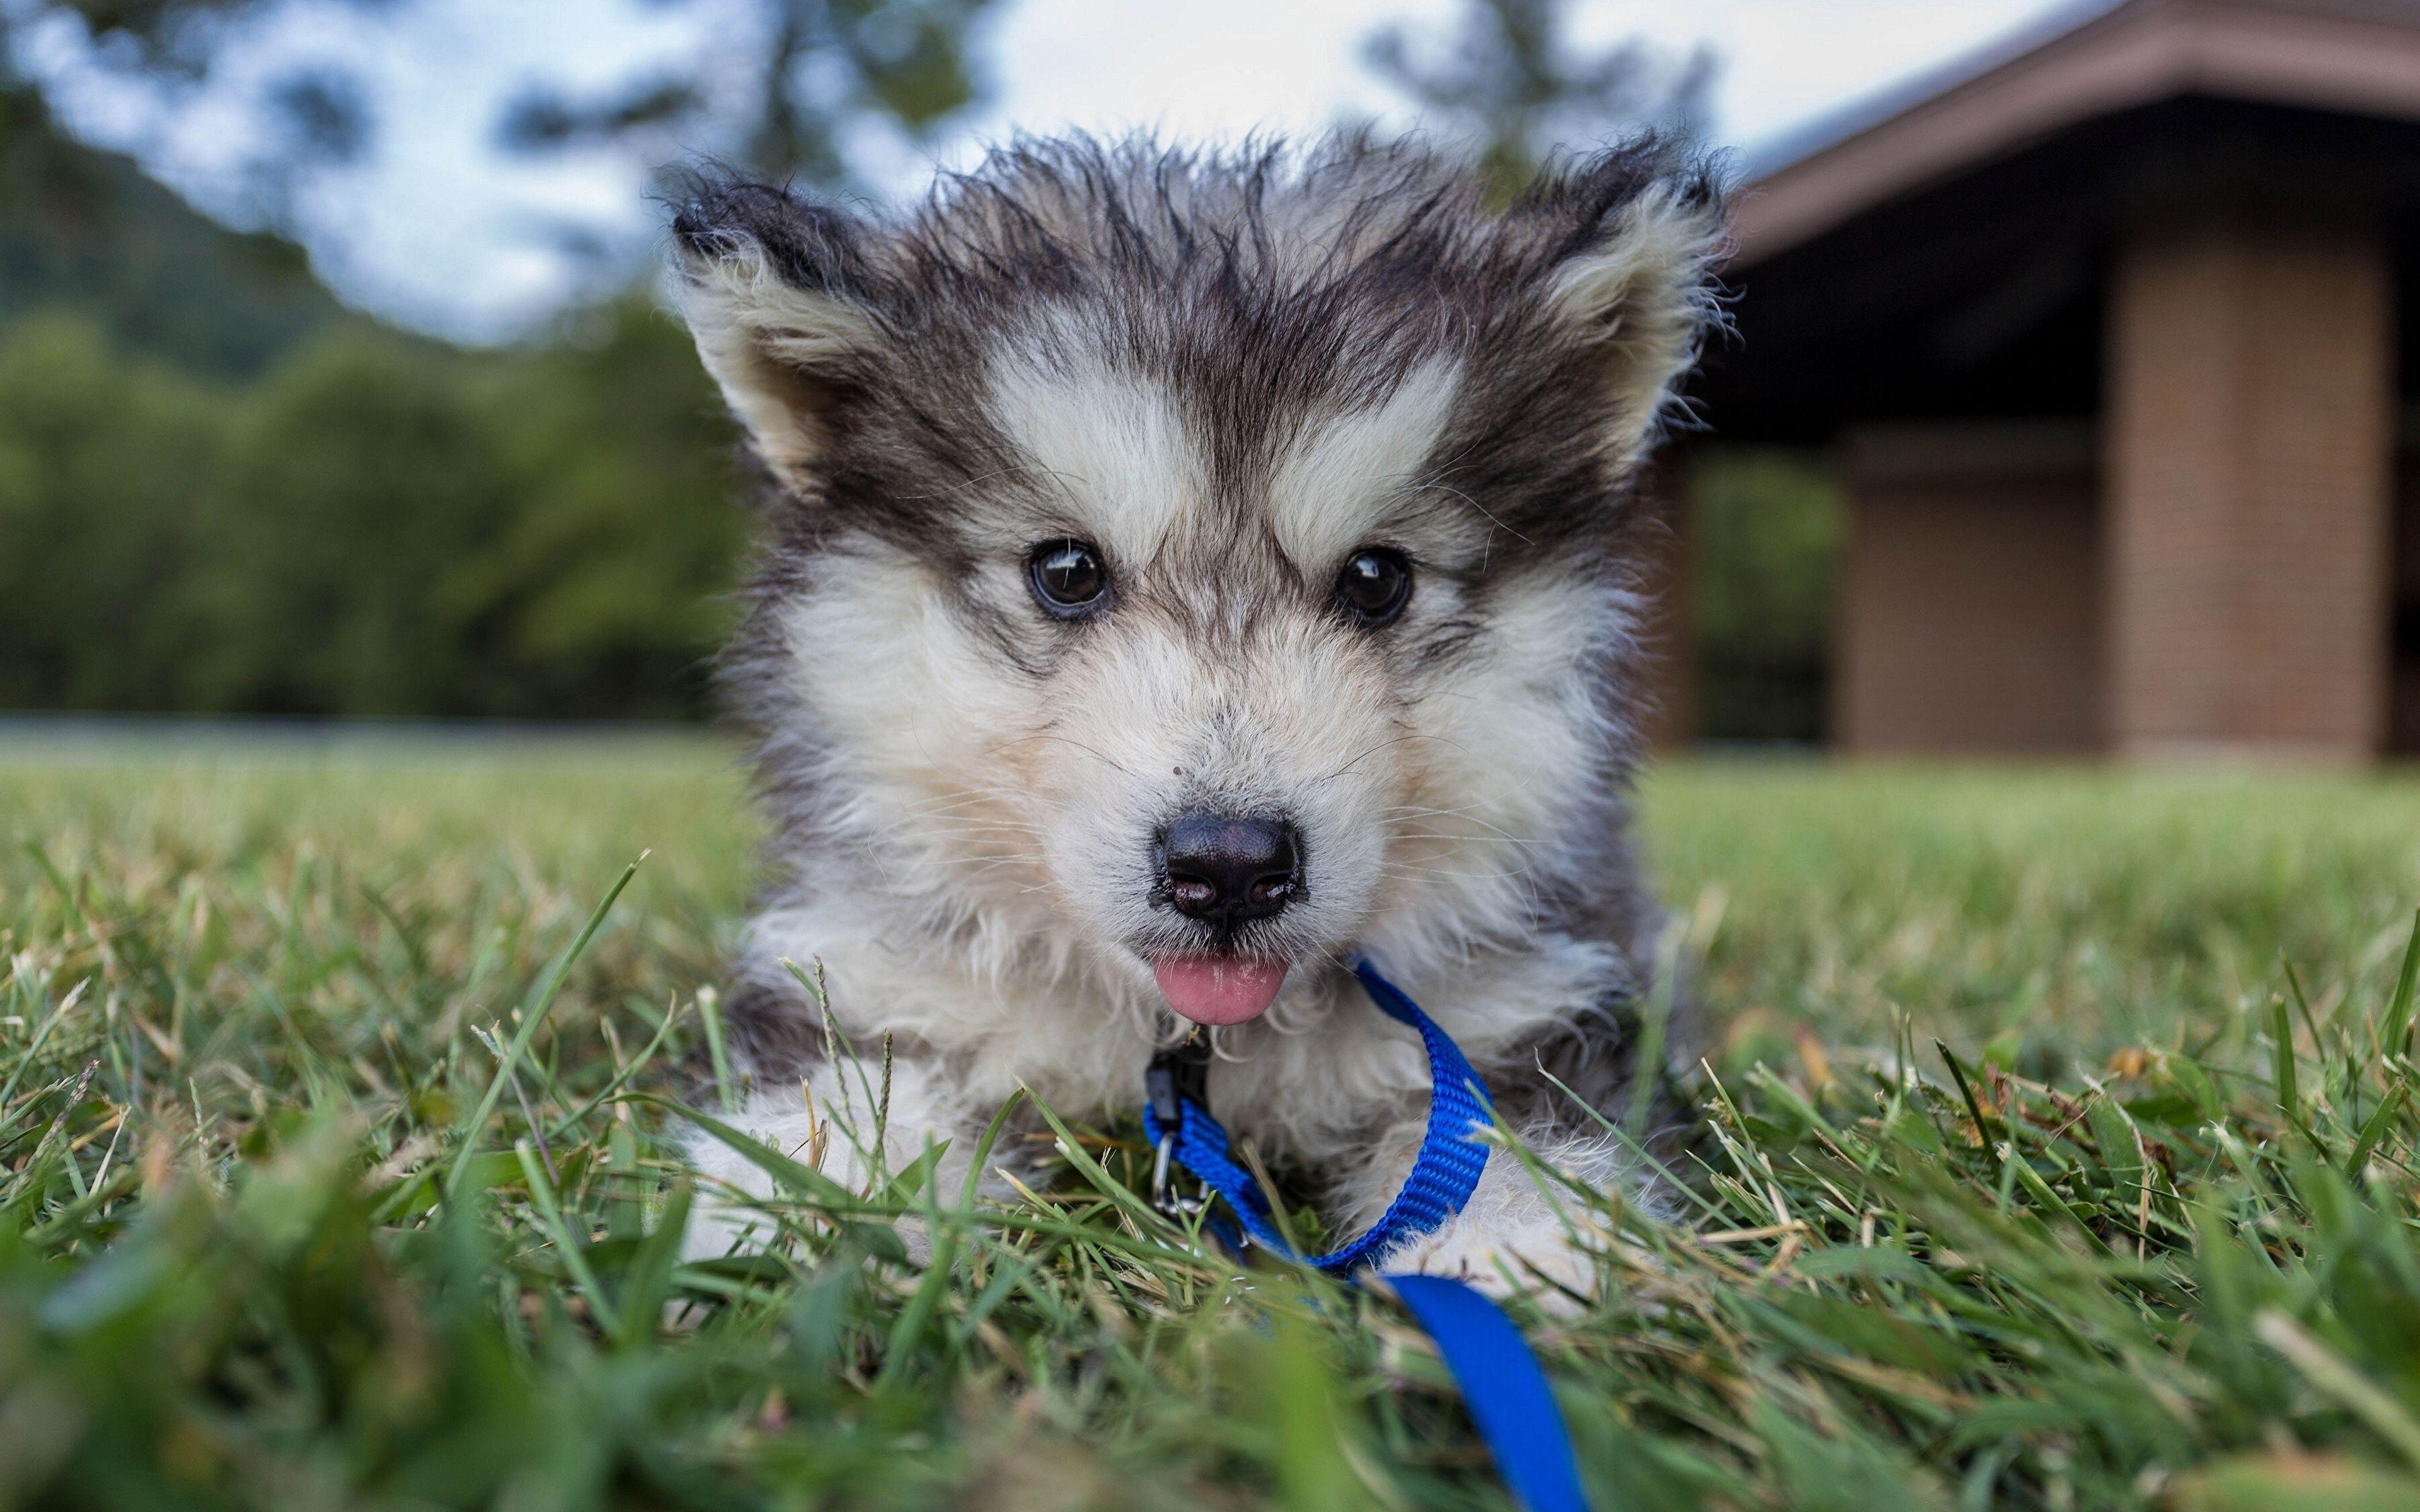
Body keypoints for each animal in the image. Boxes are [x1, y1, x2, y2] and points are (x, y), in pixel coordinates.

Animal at [667, 135, 1723, 1286]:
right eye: (1067, 571)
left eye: (1377, 579)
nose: (1229, 867)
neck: (1188, 1048)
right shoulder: (870, 980)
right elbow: (848, 1098)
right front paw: (806, 1216)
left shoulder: (1531, 999)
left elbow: (1502, 1127)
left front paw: (1509, 1251)